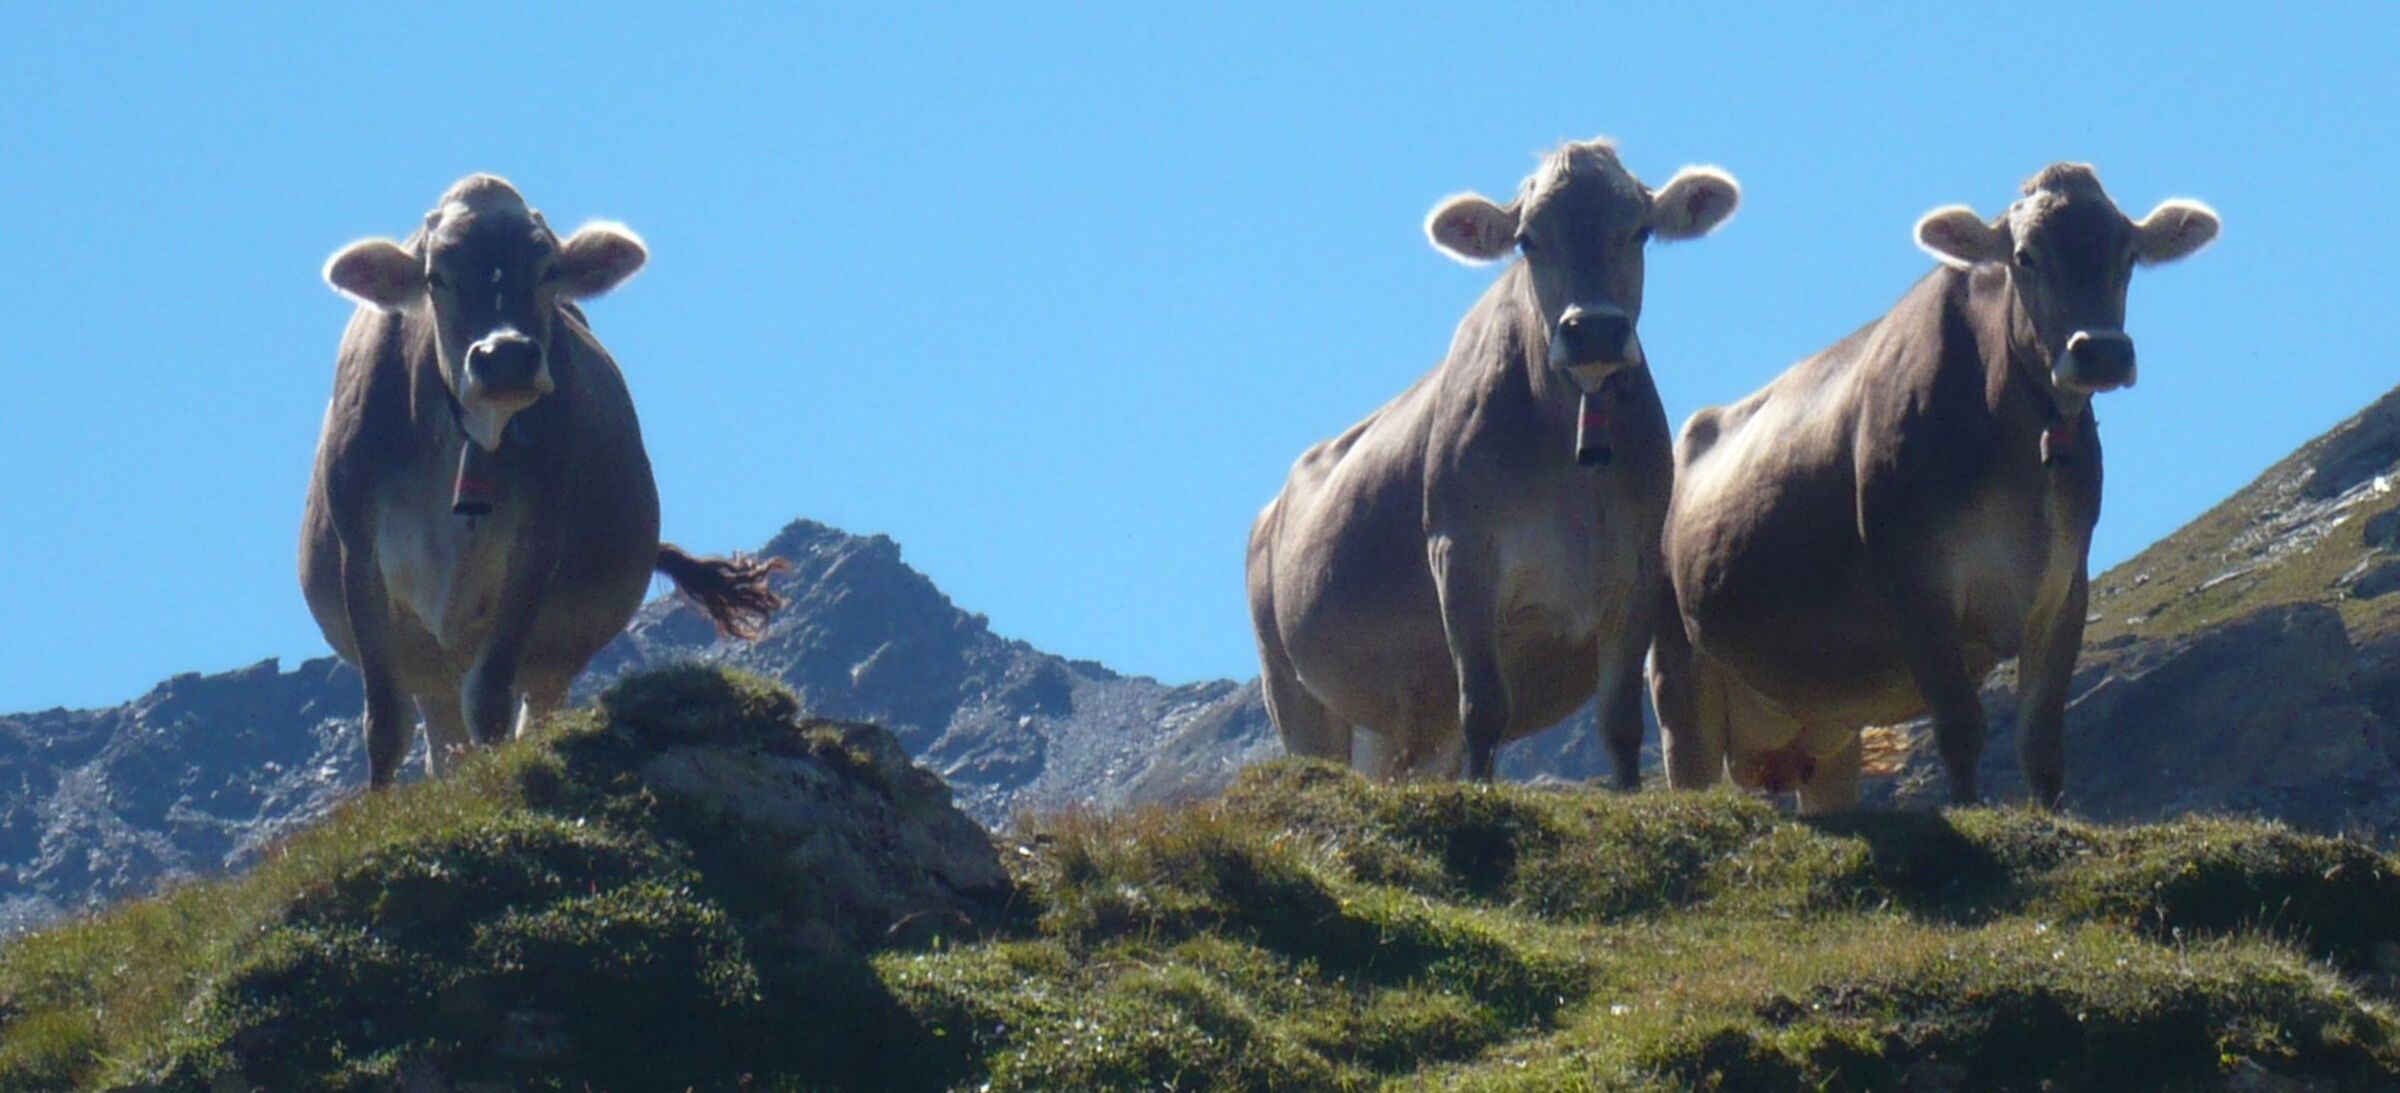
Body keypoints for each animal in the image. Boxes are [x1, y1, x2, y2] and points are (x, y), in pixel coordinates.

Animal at [300, 177, 782, 787]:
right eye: (436, 276)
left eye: (548, 268)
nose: (505, 356)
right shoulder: (356, 553)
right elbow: (385, 724)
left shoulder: (536, 548)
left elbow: (489, 703)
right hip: (428, 658)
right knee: (440, 734)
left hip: (557, 650)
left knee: (528, 713)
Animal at [1248, 141, 1737, 783]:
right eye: (1528, 239)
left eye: (1639, 230)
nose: (1593, 330)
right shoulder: (1459, 551)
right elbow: (1483, 706)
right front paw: (1479, 792)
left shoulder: (1636, 566)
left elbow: (1620, 723)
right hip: (1293, 691)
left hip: (1389, 727)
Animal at [1660, 162, 2217, 811]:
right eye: (2025, 256)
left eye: (2127, 254)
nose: (2101, 350)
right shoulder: (1914, 581)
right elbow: (1962, 727)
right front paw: (1967, 810)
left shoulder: (2064, 586)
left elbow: (2042, 746)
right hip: (1679, 679)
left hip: (1828, 731)